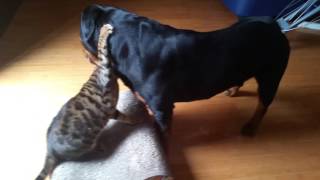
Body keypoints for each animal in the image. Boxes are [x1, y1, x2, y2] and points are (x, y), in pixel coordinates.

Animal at [36, 24, 134, 180]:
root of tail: (49, 150)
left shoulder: (110, 108)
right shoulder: (107, 90)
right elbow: (101, 48)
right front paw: (104, 30)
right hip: (83, 144)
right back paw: (100, 146)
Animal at [80, 4, 290, 136]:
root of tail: (274, 25)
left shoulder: (162, 108)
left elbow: (163, 131)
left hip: (272, 75)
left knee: (263, 104)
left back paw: (252, 126)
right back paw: (232, 89)